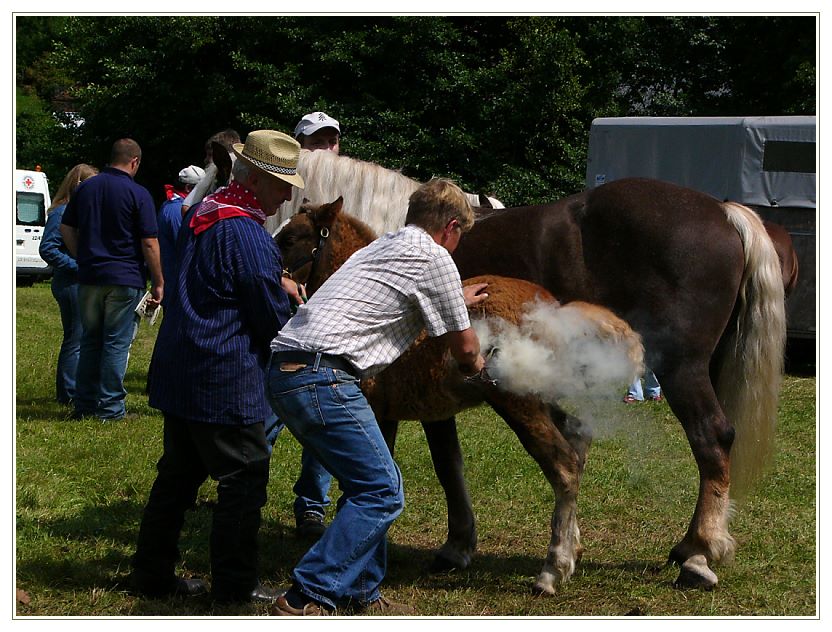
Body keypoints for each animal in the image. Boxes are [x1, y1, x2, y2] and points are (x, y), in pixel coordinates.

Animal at [276, 151, 784, 592]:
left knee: (711, 438)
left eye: (289, 236)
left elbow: (442, 465)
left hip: (679, 370)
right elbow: (451, 464)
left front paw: (455, 547)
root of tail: (724, 212)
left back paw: (697, 555)